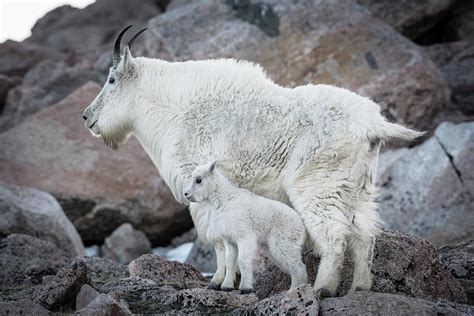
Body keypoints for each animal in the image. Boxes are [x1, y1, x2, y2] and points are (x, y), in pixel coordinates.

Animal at [185, 162, 308, 292]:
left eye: (198, 180)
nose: (186, 194)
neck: (222, 200)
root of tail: (302, 227)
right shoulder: (229, 240)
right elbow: (230, 261)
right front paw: (227, 286)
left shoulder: (245, 236)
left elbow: (242, 260)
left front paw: (246, 287)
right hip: (273, 250)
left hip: (284, 242)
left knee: (298, 266)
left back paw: (295, 289)